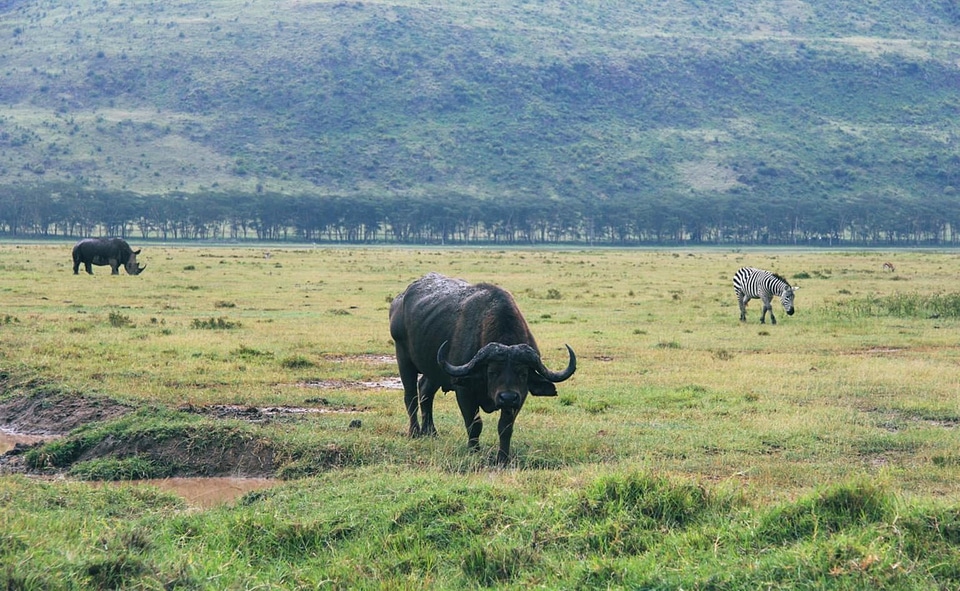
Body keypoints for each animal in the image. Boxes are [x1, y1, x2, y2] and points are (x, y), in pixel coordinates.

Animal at [390, 272, 576, 462]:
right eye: (492, 372)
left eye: (523, 373)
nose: (507, 398)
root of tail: (399, 299)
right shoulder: (464, 391)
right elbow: (474, 424)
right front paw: (474, 451)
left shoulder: (520, 397)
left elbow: (505, 428)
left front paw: (503, 458)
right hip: (403, 358)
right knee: (411, 396)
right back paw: (415, 432)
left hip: (434, 369)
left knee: (425, 391)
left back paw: (431, 432)